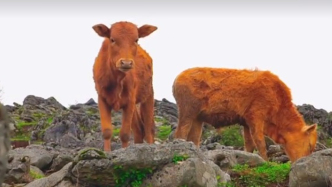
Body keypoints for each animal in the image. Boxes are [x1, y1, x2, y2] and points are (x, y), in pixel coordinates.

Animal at [91, 20, 158, 152]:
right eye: (112, 39)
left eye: (136, 39)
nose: (126, 63)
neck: (117, 79)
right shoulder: (102, 98)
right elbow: (107, 131)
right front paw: (107, 152)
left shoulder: (130, 101)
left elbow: (125, 134)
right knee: (139, 129)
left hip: (148, 94)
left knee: (149, 128)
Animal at [172, 67, 318, 162]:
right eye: (310, 146)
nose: (302, 161)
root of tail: (177, 78)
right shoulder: (256, 116)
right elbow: (260, 142)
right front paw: (266, 162)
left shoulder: (245, 122)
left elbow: (249, 145)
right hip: (187, 111)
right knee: (180, 135)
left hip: (198, 118)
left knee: (193, 139)